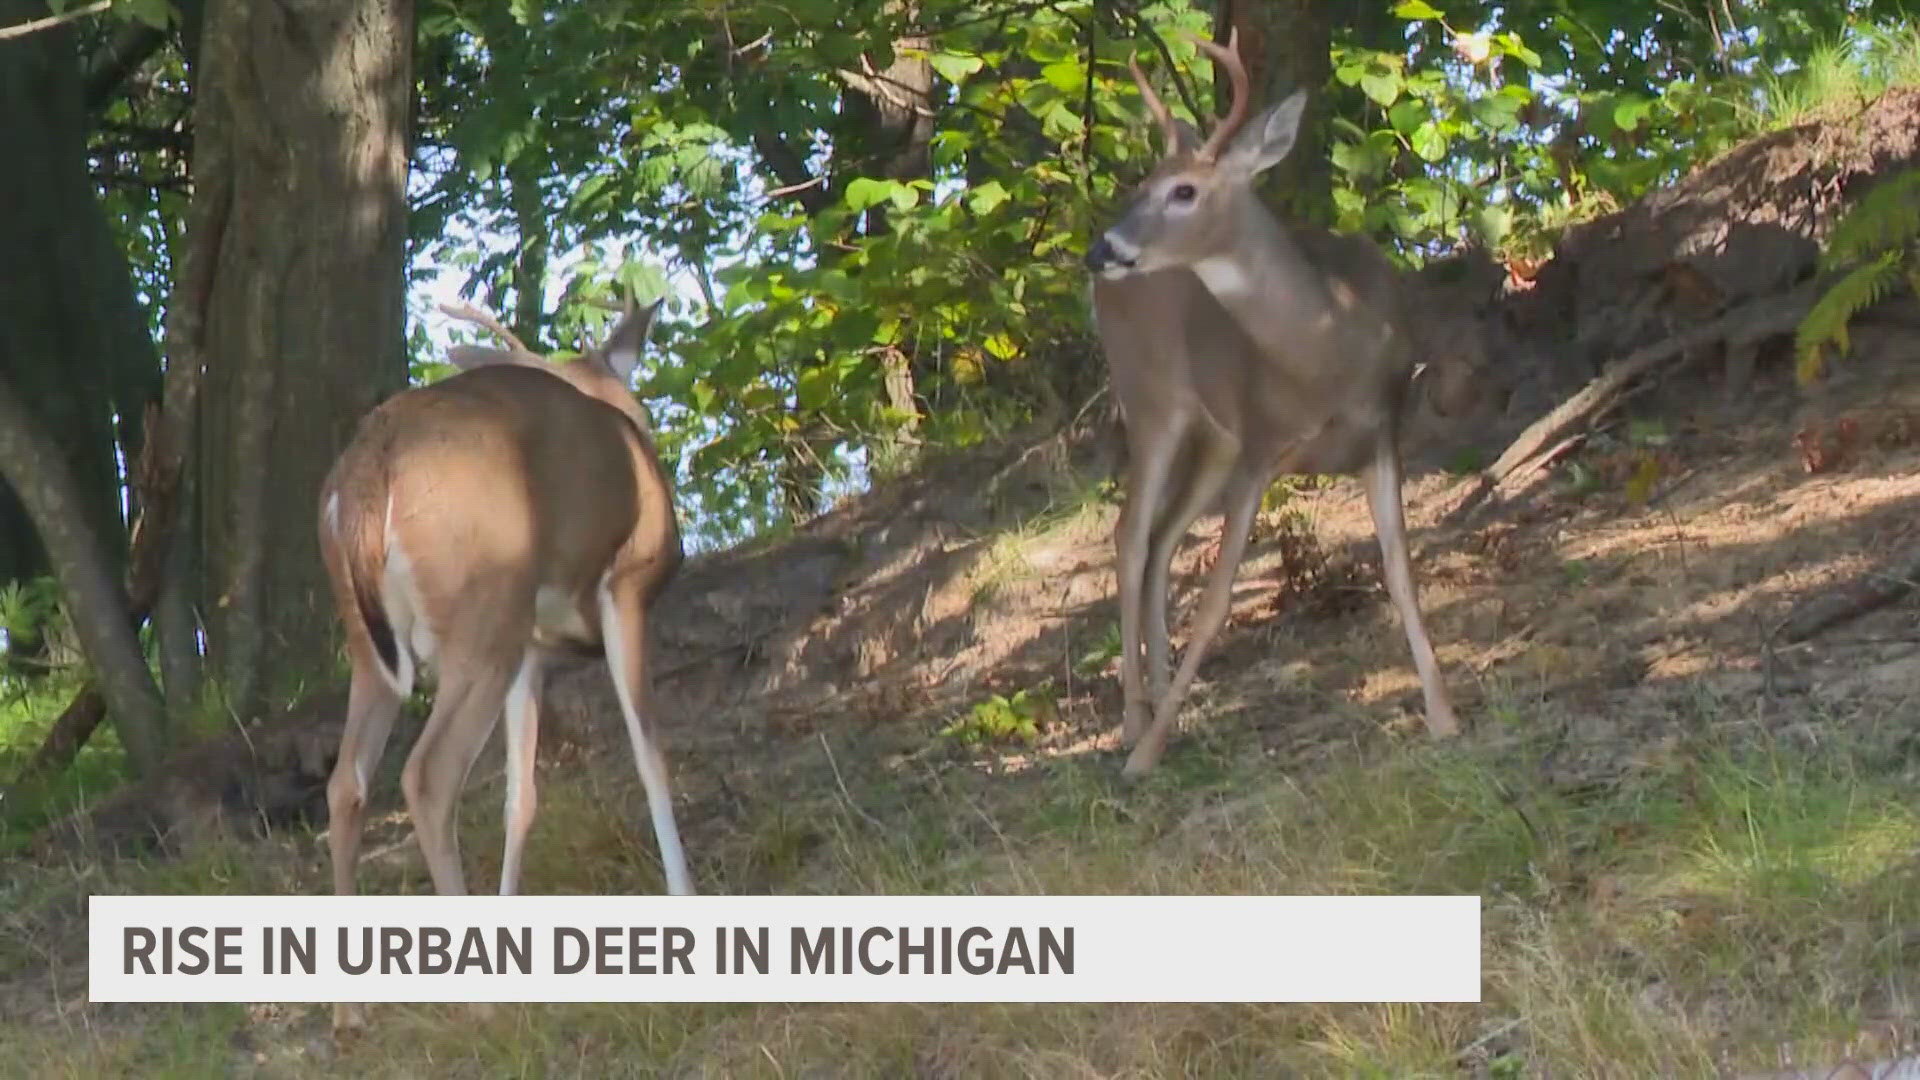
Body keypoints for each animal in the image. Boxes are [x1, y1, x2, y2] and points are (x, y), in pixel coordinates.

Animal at [320, 292, 691, 1022]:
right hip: (481, 611)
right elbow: (651, 755)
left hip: (376, 645)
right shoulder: (626, 586)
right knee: (428, 776)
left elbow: (521, 796)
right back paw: (476, 1002)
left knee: (347, 781)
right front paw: (686, 900)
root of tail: (371, 463)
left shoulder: (532, 652)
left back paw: (351, 1012)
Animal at [1082, 31, 1466, 772]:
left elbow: (1402, 570)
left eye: (1184, 190)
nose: (1101, 248)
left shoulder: (1382, 432)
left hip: (1212, 437)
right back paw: (1138, 723)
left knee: (1162, 536)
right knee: (1129, 533)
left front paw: (1443, 716)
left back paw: (1169, 703)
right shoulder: (1261, 444)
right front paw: (1145, 756)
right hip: (1151, 395)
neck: (1329, 347)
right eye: (1140, 188)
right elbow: (1217, 600)